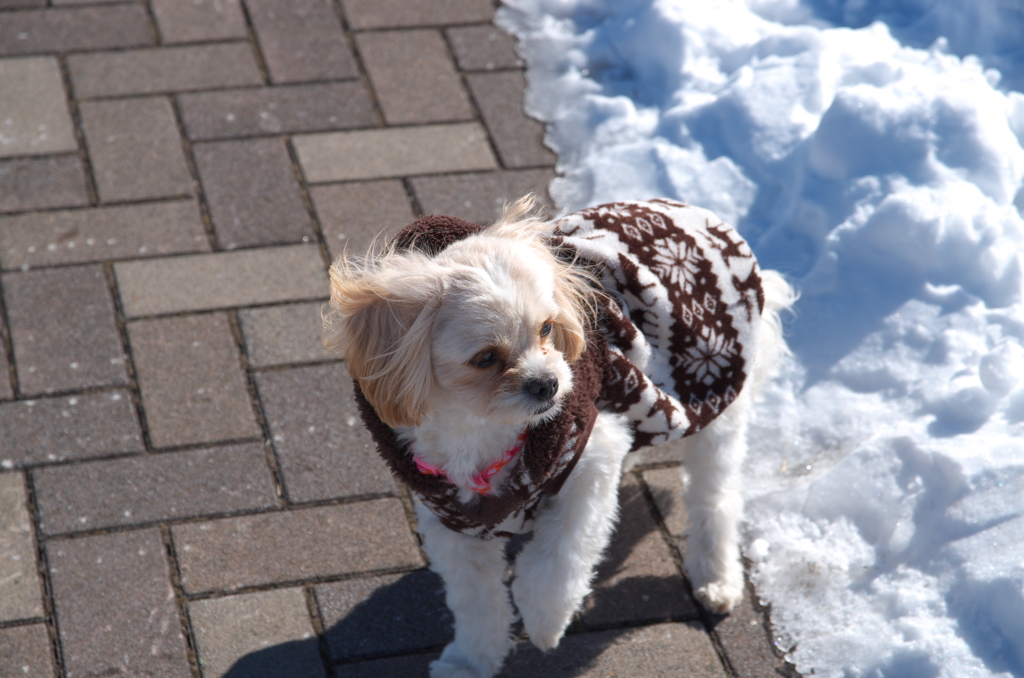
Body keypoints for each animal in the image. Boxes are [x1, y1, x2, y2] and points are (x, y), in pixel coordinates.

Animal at [323, 196, 794, 678]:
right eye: (485, 358)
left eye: (547, 328)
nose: (547, 384)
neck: (480, 434)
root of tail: (706, 218)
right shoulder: (451, 521)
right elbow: (476, 603)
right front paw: (472, 661)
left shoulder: (589, 465)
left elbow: (560, 559)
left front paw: (545, 620)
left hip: (715, 411)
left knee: (715, 499)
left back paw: (716, 576)